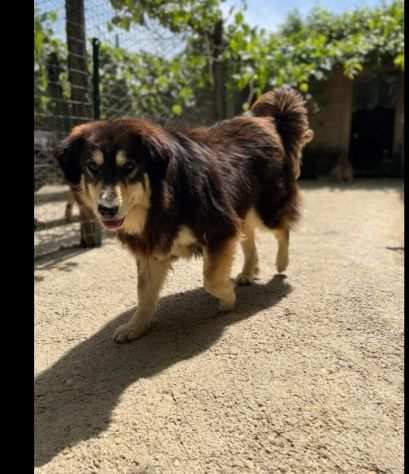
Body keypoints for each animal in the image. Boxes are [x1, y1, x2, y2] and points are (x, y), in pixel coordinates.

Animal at [55, 88, 312, 340]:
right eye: (92, 167)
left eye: (129, 167)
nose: (106, 209)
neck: (162, 201)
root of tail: (268, 122)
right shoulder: (152, 248)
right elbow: (144, 294)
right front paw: (136, 326)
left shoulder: (219, 228)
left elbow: (211, 279)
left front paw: (228, 299)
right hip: (243, 208)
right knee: (249, 238)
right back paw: (248, 272)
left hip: (266, 208)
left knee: (282, 229)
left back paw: (281, 263)